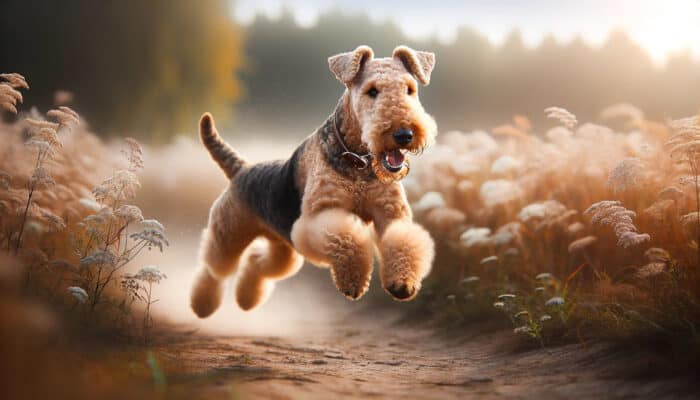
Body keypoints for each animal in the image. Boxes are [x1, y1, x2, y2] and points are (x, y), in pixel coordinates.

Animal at [189, 45, 434, 318]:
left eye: (410, 89)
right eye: (372, 91)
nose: (404, 134)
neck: (358, 162)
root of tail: (241, 169)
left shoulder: (391, 214)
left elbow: (402, 240)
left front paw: (402, 284)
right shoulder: (320, 216)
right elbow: (347, 240)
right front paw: (353, 282)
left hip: (284, 249)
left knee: (256, 262)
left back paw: (246, 300)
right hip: (228, 236)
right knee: (214, 270)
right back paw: (202, 305)